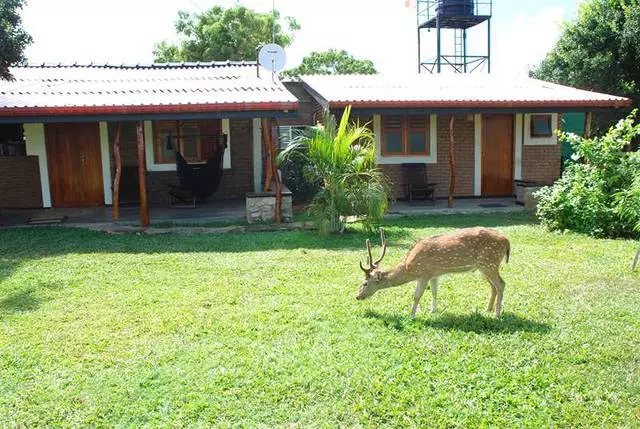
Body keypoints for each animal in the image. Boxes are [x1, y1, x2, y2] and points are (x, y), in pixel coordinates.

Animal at [356, 226, 510, 316]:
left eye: (365, 283)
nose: (357, 296)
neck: (409, 267)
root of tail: (507, 241)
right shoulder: (434, 274)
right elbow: (435, 291)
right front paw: (433, 310)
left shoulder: (424, 273)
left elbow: (417, 295)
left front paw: (411, 315)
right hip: (484, 267)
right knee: (494, 286)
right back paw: (488, 309)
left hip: (489, 262)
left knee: (501, 284)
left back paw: (497, 314)